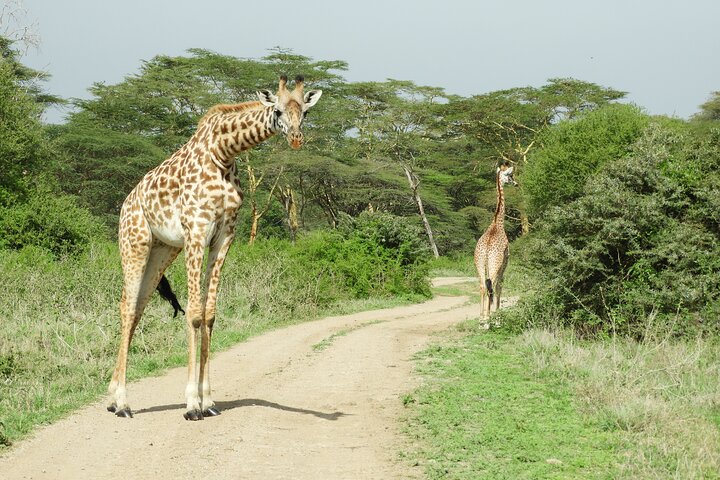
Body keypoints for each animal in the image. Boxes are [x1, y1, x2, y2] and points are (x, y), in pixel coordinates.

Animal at [107, 76, 322, 421]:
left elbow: (210, 314)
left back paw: (113, 397)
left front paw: (208, 400)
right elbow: (194, 314)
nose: (296, 139)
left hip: (162, 250)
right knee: (127, 308)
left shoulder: (224, 235)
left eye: (305, 111)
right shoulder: (196, 230)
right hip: (135, 242)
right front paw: (191, 404)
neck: (224, 153)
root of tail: (126, 202)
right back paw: (123, 403)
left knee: (135, 306)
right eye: (277, 110)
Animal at [474, 163, 516, 325]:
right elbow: (499, 286)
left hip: (479, 264)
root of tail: (486, 250)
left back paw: (482, 318)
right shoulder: (504, 263)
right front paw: (498, 316)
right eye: (510, 175)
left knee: (482, 286)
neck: (497, 223)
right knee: (492, 285)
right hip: (494, 265)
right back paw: (488, 319)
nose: (516, 183)